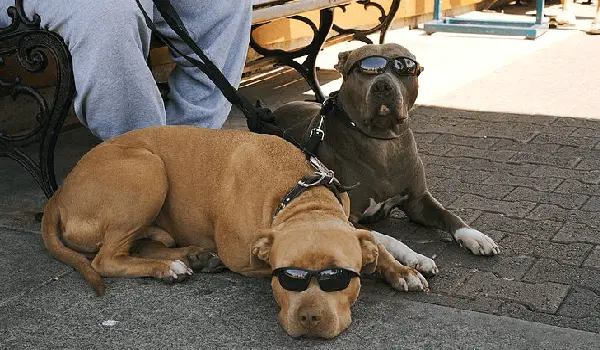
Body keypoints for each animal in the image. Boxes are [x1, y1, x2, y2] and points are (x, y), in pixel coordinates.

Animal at [41, 126, 426, 340]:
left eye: (338, 277)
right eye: (285, 277)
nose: (310, 319)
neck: (301, 195)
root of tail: (59, 193)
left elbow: (375, 240)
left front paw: (404, 267)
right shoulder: (246, 258)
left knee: (140, 245)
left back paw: (191, 255)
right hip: (147, 169)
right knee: (106, 259)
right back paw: (169, 267)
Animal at [274, 43, 500, 274]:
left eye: (405, 67)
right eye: (363, 70)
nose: (382, 85)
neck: (382, 142)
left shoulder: (418, 201)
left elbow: (448, 214)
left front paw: (473, 235)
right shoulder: (347, 217)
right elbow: (385, 239)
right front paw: (414, 257)